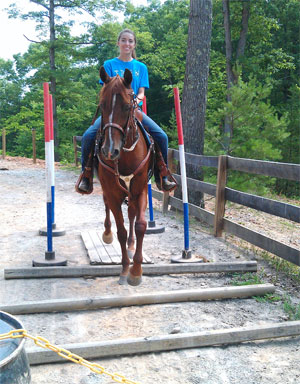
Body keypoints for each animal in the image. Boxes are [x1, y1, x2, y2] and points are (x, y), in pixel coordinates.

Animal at [95, 67, 154, 286]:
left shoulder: (141, 190)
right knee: (108, 209)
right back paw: (107, 233)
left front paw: (136, 271)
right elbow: (121, 230)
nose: (109, 150)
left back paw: (131, 245)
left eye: (128, 106)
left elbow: (140, 225)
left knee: (132, 214)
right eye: (102, 105)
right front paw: (125, 269)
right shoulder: (112, 193)